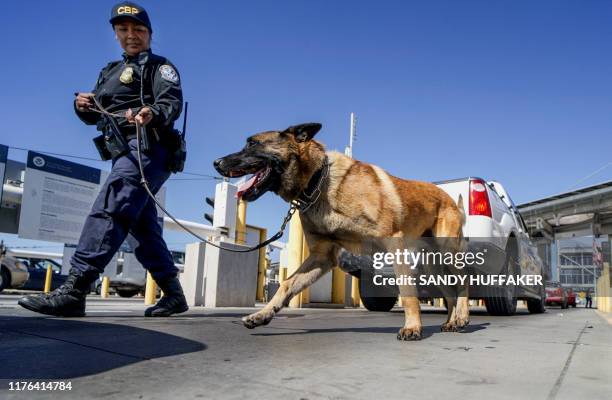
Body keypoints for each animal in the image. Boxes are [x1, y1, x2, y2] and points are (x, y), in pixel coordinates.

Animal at [213, 122, 466, 340]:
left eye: (252, 144)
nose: (216, 162)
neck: (319, 181)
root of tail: (450, 199)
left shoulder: (394, 243)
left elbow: (407, 290)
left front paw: (412, 327)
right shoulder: (322, 256)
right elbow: (286, 284)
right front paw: (262, 314)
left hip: (447, 254)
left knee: (462, 282)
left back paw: (462, 318)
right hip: (433, 266)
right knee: (450, 292)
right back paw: (450, 322)